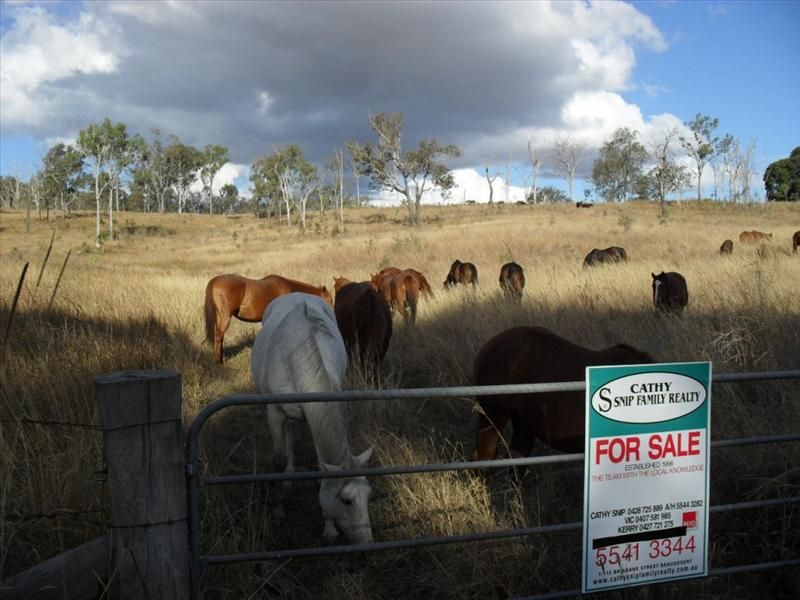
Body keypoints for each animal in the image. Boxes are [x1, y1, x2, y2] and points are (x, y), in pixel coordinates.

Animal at [206, 274, 334, 364]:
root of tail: (215, 280)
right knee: (219, 335)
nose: (333, 316)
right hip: (225, 316)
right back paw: (219, 361)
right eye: (329, 301)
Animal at [250, 292, 376, 548]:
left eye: (368, 494)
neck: (298, 356)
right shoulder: (274, 412)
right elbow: (278, 459)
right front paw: (278, 510)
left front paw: (329, 529)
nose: (367, 541)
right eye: (347, 501)